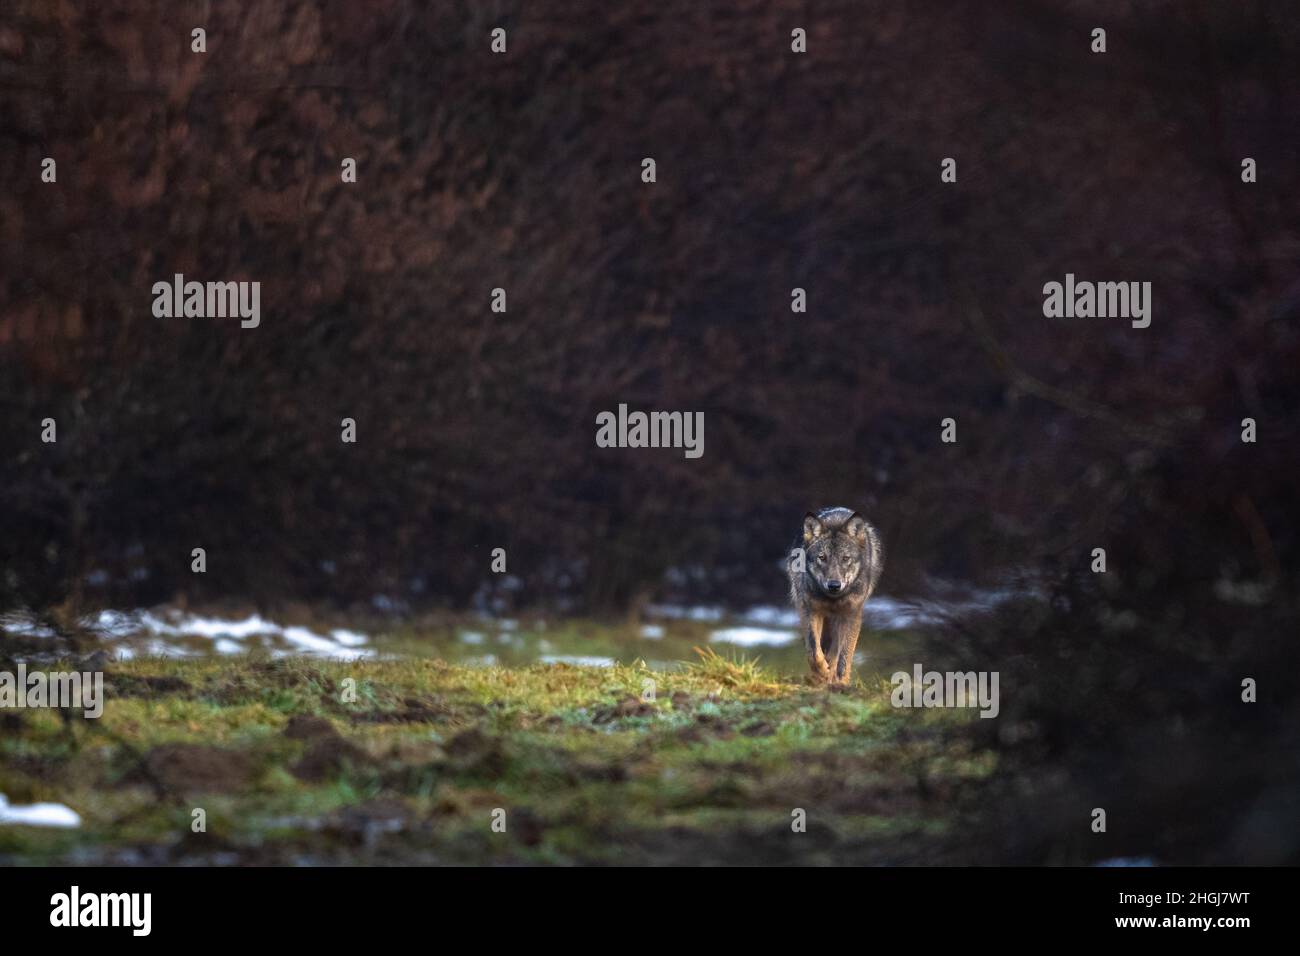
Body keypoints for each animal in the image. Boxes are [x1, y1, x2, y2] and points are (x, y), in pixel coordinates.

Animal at [785, 509, 878, 686]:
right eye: (822, 557)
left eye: (845, 558)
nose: (834, 585)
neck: (832, 599)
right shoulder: (811, 610)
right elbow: (814, 650)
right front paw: (822, 672)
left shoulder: (852, 615)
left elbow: (844, 656)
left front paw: (841, 682)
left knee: (835, 651)